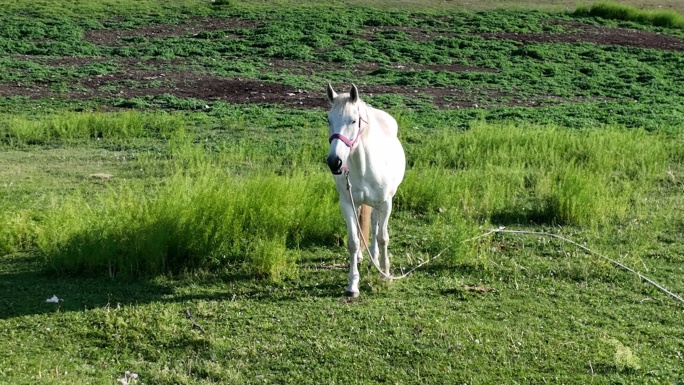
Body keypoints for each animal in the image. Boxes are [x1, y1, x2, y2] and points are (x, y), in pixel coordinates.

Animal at [328, 82, 406, 296]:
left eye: (353, 120)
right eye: (328, 120)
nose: (334, 162)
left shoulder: (385, 204)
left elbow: (382, 237)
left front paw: (385, 274)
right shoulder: (347, 204)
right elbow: (353, 241)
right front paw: (353, 285)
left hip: (379, 205)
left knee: (375, 226)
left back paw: (374, 258)